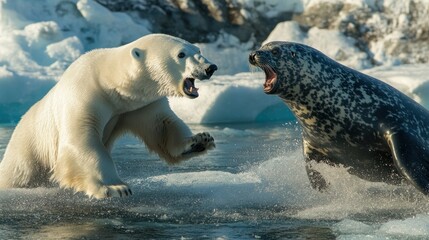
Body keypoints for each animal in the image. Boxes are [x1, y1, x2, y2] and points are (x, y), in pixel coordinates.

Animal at [0, 33, 217, 199]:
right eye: (181, 54)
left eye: (198, 51)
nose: (210, 68)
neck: (110, 82)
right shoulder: (85, 93)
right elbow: (82, 140)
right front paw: (114, 187)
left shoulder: (138, 105)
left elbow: (162, 125)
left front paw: (199, 140)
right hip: (27, 153)